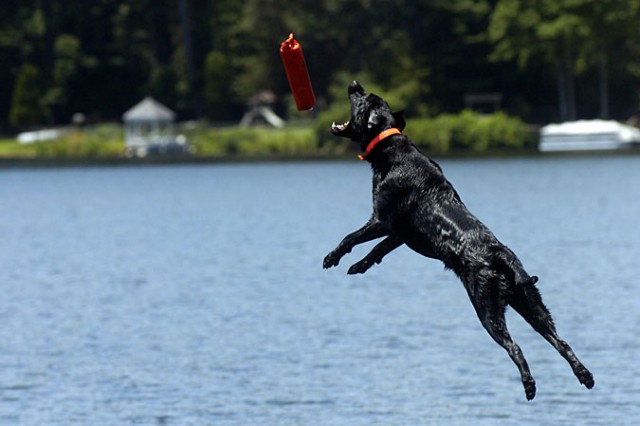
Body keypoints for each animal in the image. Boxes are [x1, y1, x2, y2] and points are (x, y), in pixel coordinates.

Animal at [324, 81, 596, 402]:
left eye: (364, 99)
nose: (354, 84)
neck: (389, 149)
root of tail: (499, 254)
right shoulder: (401, 234)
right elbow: (377, 250)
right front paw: (359, 266)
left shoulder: (382, 220)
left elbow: (351, 237)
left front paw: (332, 258)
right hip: (531, 304)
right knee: (560, 341)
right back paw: (585, 377)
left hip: (486, 308)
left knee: (515, 347)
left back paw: (530, 386)